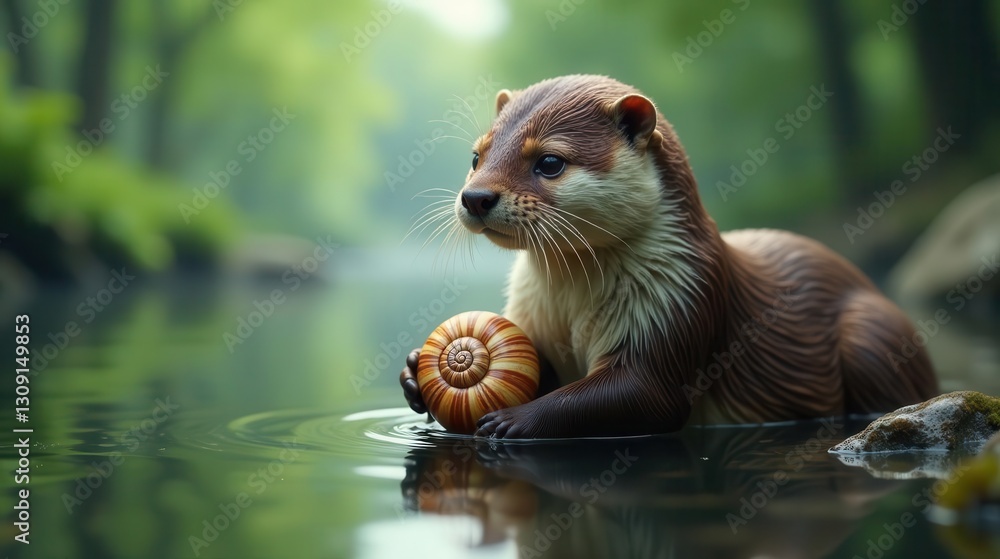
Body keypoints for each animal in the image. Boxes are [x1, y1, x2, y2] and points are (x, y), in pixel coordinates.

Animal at [400, 75, 937, 439]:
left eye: (549, 162)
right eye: (476, 156)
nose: (476, 196)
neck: (571, 310)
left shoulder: (680, 299)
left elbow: (644, 393)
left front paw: (513, 420)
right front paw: (412, 374)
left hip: (870, 334)